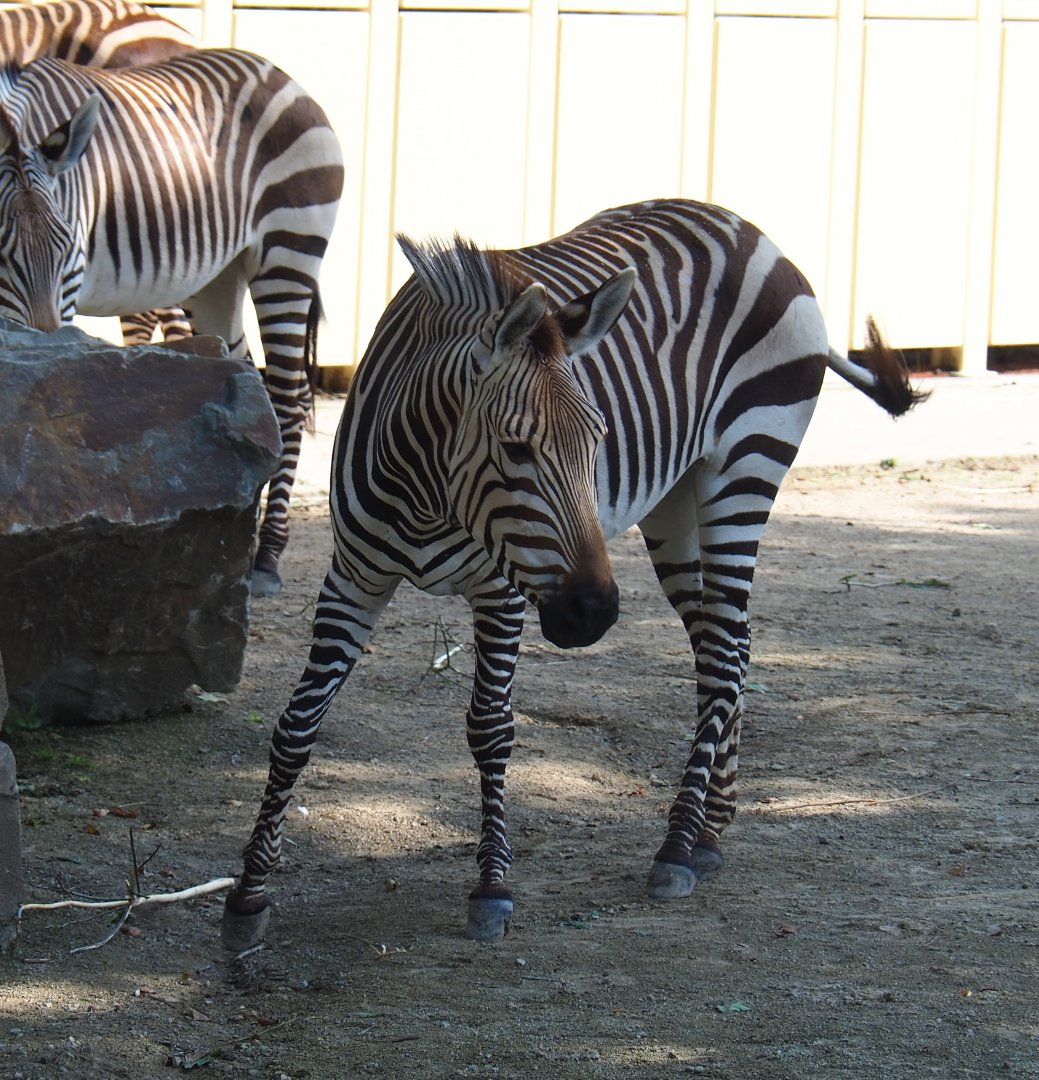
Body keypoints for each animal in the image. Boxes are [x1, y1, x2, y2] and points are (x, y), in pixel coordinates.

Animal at [0, 49, 344, 594]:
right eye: (0, 248)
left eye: (69, 248)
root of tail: (276, 72)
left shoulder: (69, 287)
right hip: (218, 276)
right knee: (250, 382)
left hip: (290, 248)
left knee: (289, 399)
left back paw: (267, 556)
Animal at [220, 198, 925, 949]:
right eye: (515, 447)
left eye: (597, 440)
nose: (594, 614)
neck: (427, 494)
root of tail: (749, 230)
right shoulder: (352, 577)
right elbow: (298, 723)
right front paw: (247, 895)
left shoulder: (501, 592)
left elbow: (491, 727)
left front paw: (492, 887)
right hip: (675, 502)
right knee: (724, 647)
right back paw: (711, 827)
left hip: (743, 469)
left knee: (726, 654)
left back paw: (678, 846)